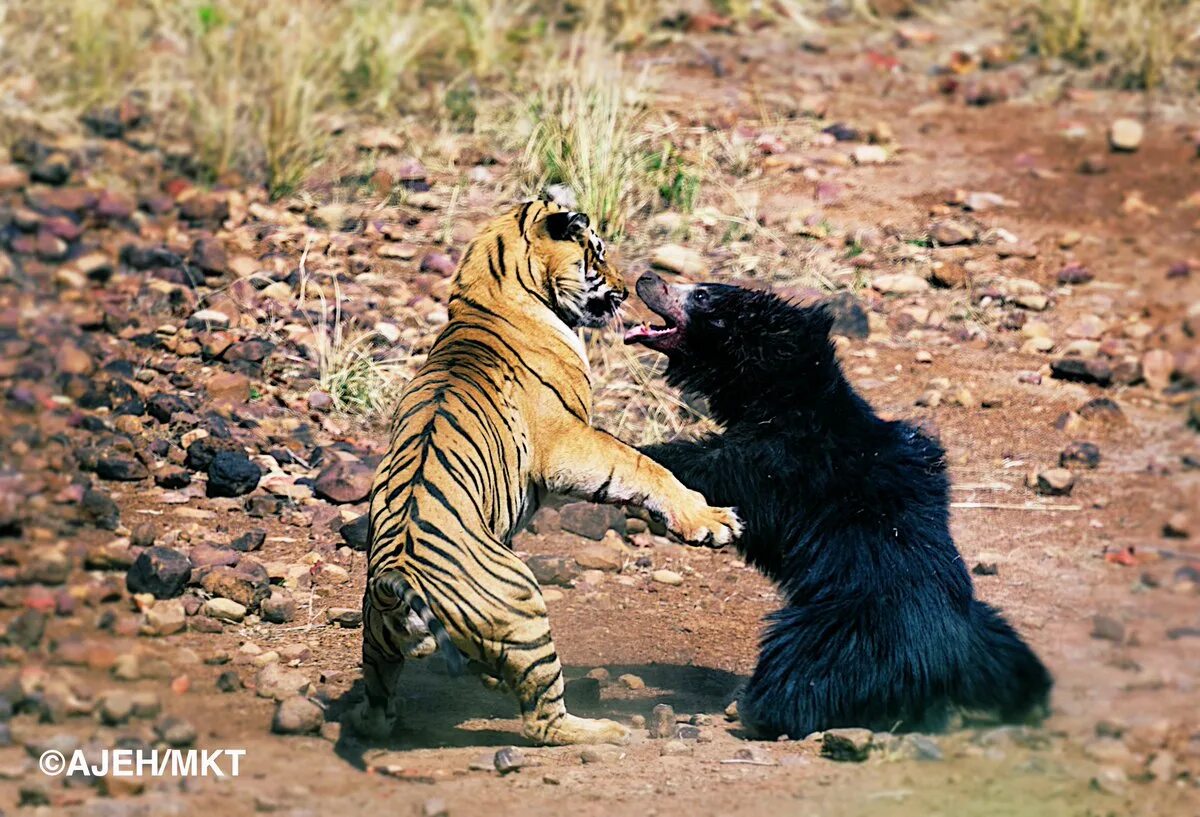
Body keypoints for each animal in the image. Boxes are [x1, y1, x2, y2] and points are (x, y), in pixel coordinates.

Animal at [352, 199, 739, 743]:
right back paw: (607, 732)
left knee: (376, 706)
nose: (625, 287)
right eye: (597, 253)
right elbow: (642, 465)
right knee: (543, 720)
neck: (484, 296)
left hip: (376, 645)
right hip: (524, 610)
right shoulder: (569, 442)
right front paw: (711, 521)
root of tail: (397, 579)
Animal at [628, 271, 1051, 734]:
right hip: (990, 636)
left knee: (799, 673)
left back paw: (758, 709)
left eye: (701, 295)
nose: (646, 277)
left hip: (846, 634)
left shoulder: (780, 462)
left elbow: (712, 469)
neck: (785, 394)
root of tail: (948, 662)